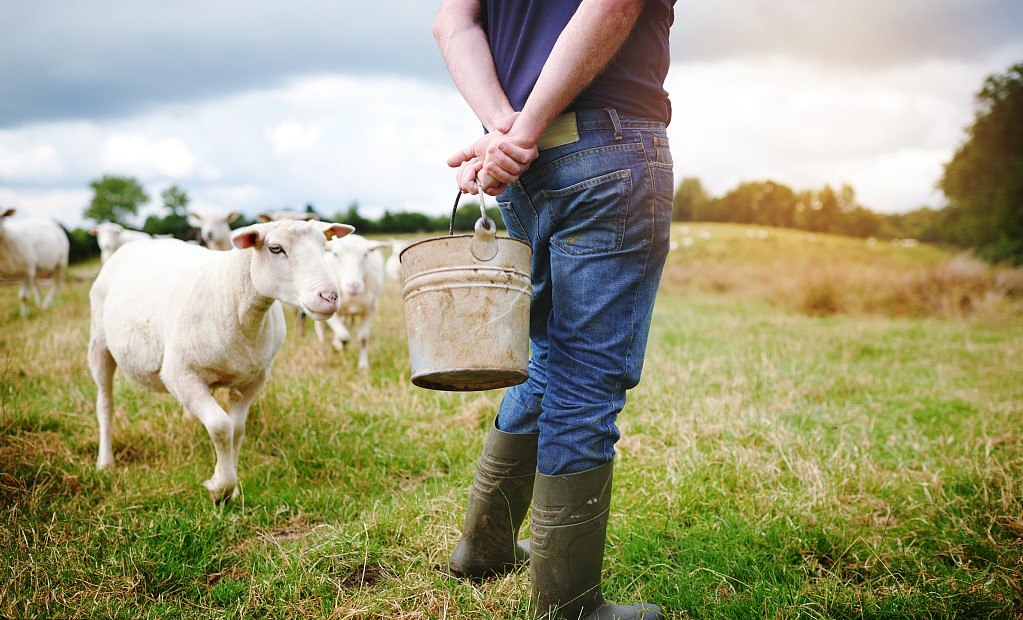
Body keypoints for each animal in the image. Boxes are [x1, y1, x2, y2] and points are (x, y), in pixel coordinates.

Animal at [92, 220, 356, 503]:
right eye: (275, 248)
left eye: (323, 245)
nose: (330, 297)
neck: (233, 298)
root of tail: (138, 243)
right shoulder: (179, 375)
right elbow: (221, 427)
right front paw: (220, 487)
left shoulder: (254, 378)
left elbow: (237, 429)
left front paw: (233, 486)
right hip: (99, 343)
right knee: (105, 404)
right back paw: (105, 463)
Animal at [313, 234, 384, 372]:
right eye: (335, 254)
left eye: (366, 254)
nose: (353, 286)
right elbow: (343, 336)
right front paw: (338, 345)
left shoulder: (370, 309)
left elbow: (362, 338)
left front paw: (363, 366)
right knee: (320, 328)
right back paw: (324, 347)